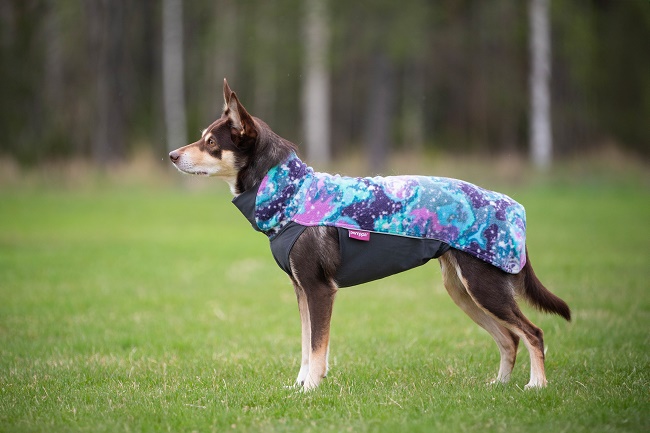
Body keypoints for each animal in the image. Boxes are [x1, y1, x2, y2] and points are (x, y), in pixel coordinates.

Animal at [169, 79, 571, 391]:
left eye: (210, 142)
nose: (172, 155)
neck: (291, 191)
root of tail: (512, 207)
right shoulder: (301, 289)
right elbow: (305, 345)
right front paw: (299, 385)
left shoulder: (319, 289)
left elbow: (317, 347)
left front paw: (310, 388)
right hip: (462, 290)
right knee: (509, 339)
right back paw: (498, 386)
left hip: (484, 286)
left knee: (532, 333)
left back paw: (536, 385)